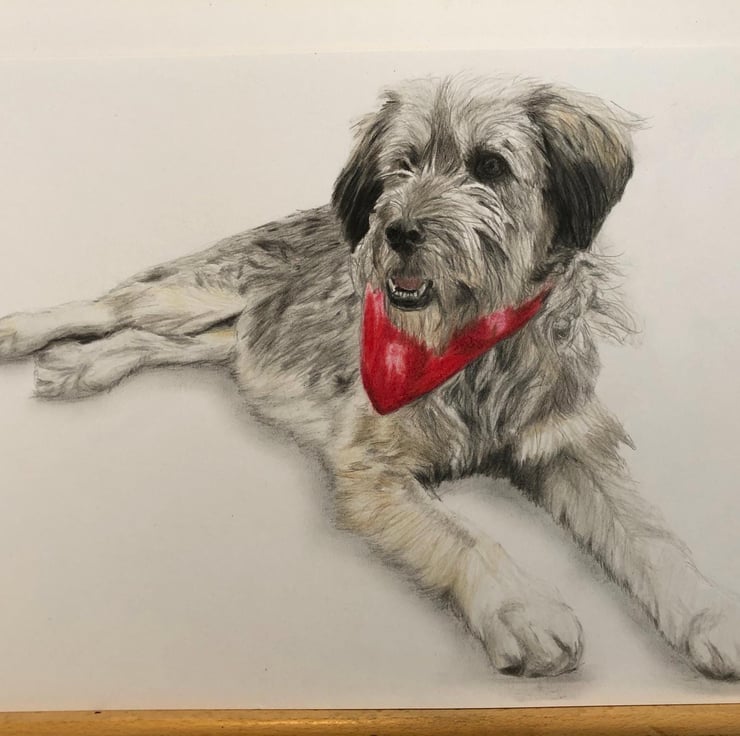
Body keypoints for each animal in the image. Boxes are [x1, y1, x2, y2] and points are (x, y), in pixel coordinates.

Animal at [1, 75, 738, 679]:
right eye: (402, 164)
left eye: (491, 166)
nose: (398, 231)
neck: (470, 341)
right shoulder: (371, 466)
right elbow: (465, 535)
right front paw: (523, 608)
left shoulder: (566, 442)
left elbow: (649, 534)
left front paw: (710, 613)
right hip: (200, 292)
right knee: (112, 306)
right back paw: (27, 333)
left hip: (237, 337)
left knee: (158, 340)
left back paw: (84, 364)